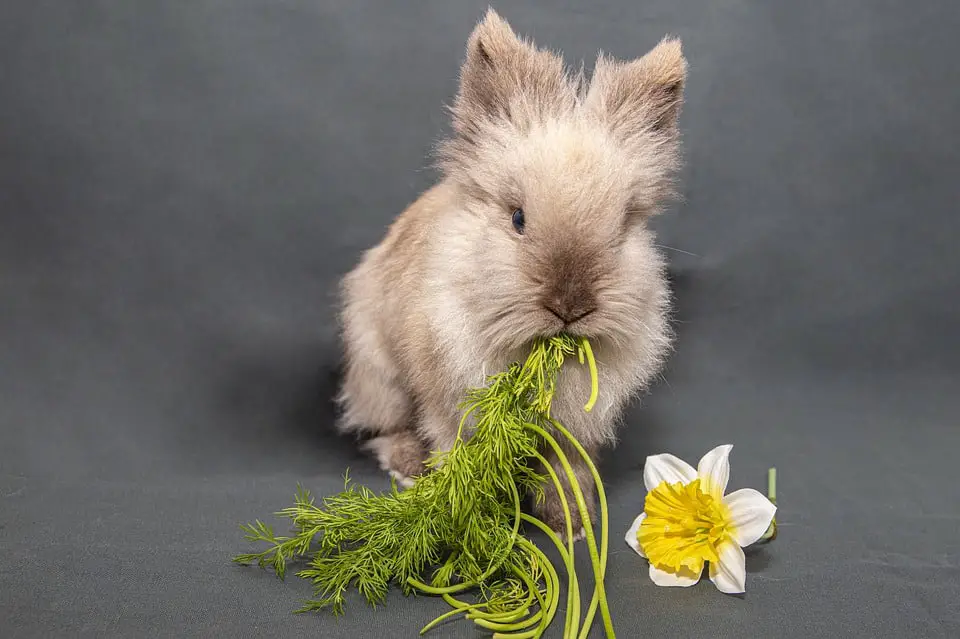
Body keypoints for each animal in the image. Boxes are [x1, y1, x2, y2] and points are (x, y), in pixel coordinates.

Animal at [336, 8, 684, 540]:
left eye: (623, 225)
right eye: (518, 218)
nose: (570, 307)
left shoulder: (572, 430)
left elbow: (566, 472)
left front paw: (571, 526)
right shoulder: (449, 401)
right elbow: (453, 451)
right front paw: (462, 519)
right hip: (379, 373)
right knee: (385, 426)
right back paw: (408, 467)